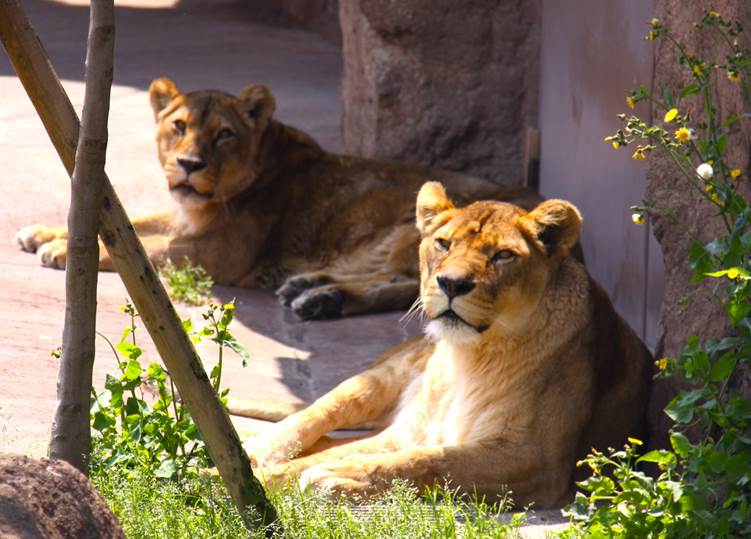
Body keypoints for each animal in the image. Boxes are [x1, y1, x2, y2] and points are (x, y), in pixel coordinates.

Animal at [13, 76, 540, 320]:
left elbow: (147, 251)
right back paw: (306, 287)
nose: (189, 165)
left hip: (415, 230)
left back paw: (318, 300)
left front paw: (63, 249)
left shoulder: (221, 252)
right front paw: (41, 232)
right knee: (397, 282)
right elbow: (137, 224)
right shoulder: (186, 219)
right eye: (178, 126)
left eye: (224, 134)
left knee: (413, 287)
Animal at [235, 184, 652, 508]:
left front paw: (335, 476)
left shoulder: (533, 459)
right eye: (443, 243)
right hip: (379, 379)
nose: (451, 283)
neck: (470, 355)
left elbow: (428, 462)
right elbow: (324, 460)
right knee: (311, 417)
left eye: (503, 255)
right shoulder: (407, 434)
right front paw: (242, 482)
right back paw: (251, 453)